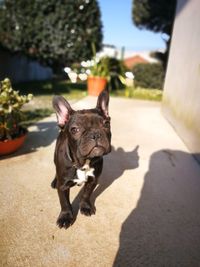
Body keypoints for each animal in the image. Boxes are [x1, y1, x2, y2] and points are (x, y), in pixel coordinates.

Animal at [51, 89, 111, 229]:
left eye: (106, 124)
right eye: (75, 129)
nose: (95, 134)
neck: (83, 163)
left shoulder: (92, 180)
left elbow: (86, 194)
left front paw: (85, 207)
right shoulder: (63, 187)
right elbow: (65, 203)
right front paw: (65, 217)